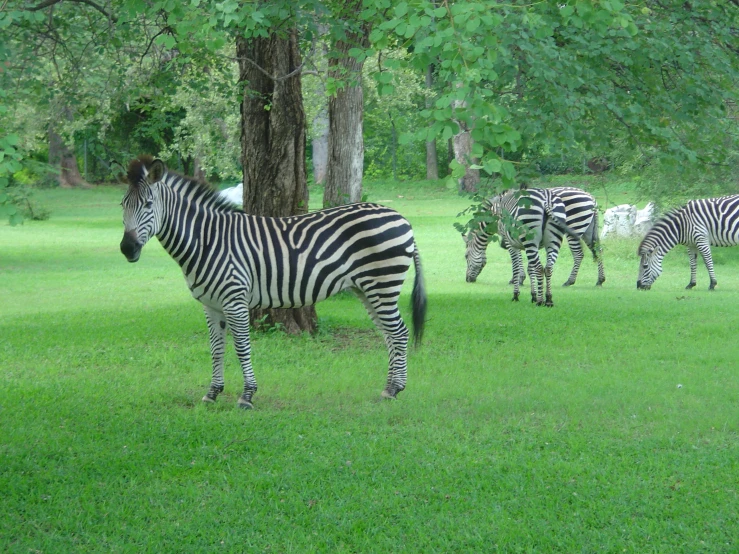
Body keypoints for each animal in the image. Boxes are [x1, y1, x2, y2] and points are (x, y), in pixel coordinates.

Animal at [118, 155, 424, 406]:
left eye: (148, 204)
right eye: (122, 205)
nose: (127, 249)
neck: (207, 239)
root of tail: (401, 217)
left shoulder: (235, 300)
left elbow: (241, 347)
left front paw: (247, 395)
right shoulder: (211, 305)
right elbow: (216, 349)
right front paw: (212, 392)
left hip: (382, 285)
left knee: (399, 332)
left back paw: (395, 389)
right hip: (366, 289)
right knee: (388, 335)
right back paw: (388, 387)